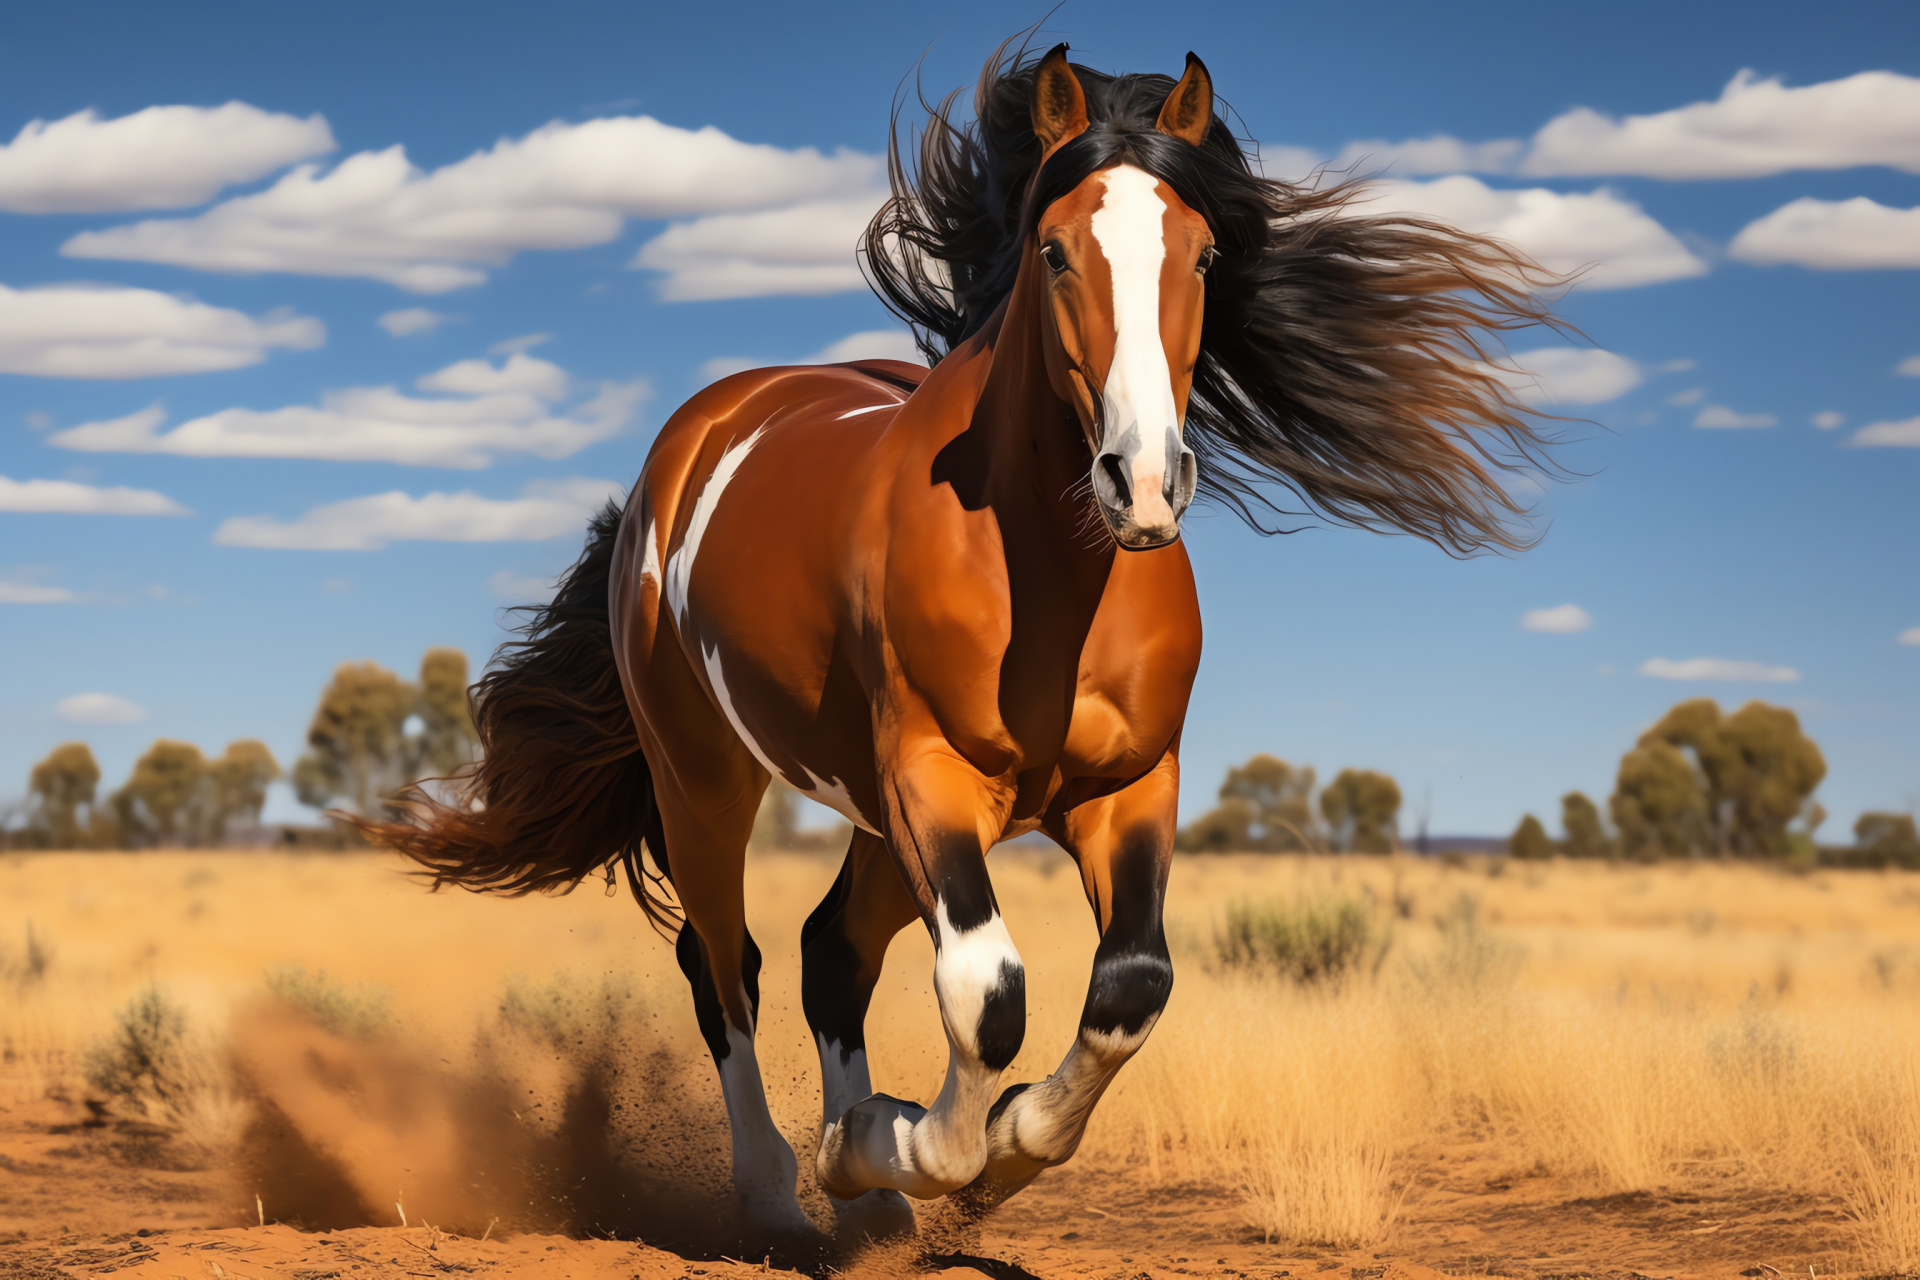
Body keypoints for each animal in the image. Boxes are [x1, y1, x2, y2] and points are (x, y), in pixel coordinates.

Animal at [362, 40, 1559, 1243]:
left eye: (1206, 250)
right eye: (1055, 248)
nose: (1142, 483)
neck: (1047, 578)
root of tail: (695, 437)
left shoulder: (1129, 785)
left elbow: (1130, 985)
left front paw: (990, 1147)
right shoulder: (933, 775)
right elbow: (986, 990)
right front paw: (897, 1143)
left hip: (867, 815)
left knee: (830, 950)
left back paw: (870, 1204)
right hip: (706, 777)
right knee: (725, 963)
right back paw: (784, 1191)